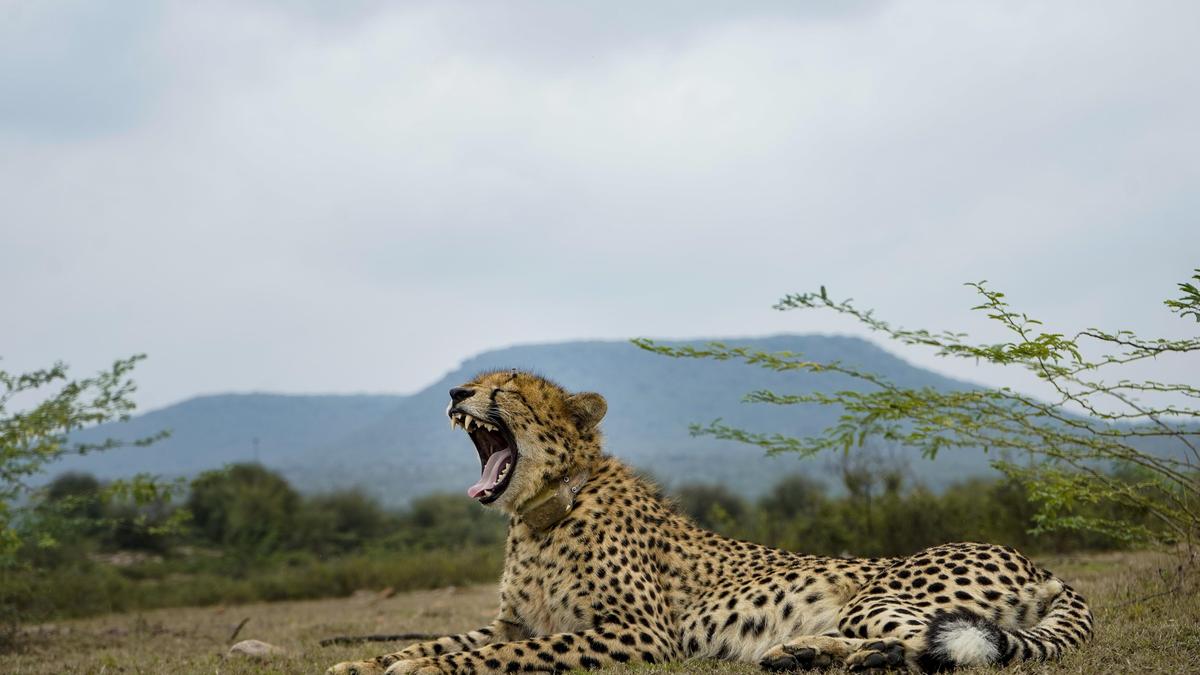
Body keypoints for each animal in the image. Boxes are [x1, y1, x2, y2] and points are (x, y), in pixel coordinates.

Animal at [328, 369, 1093, 674]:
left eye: (508, 387)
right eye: (479, 380)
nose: (458, 391)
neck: (543, 514)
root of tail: (1035, 561)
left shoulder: (641, 631)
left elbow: (507, 654)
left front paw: (415, 667)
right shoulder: (513, 620)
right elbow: (450, 635)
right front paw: (367, 658)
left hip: (880, 593)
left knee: (939, 644)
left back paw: (841, 655)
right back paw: (803, 653)